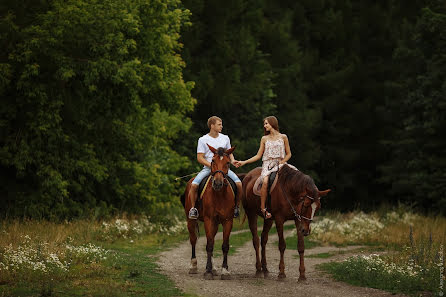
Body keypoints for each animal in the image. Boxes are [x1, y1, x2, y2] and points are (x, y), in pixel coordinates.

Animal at [181, 145, 237, 278]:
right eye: (212, 161)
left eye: (228, 163)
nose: (217, 183)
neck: (219, 195)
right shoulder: (209, 219)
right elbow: (209, 245)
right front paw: (207, 271)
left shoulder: (228, 221)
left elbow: (224, 245)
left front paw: (224, 270)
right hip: (190, 220)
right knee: (193, 239)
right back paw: (193, 266)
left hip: (216, 224)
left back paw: (214, 268)